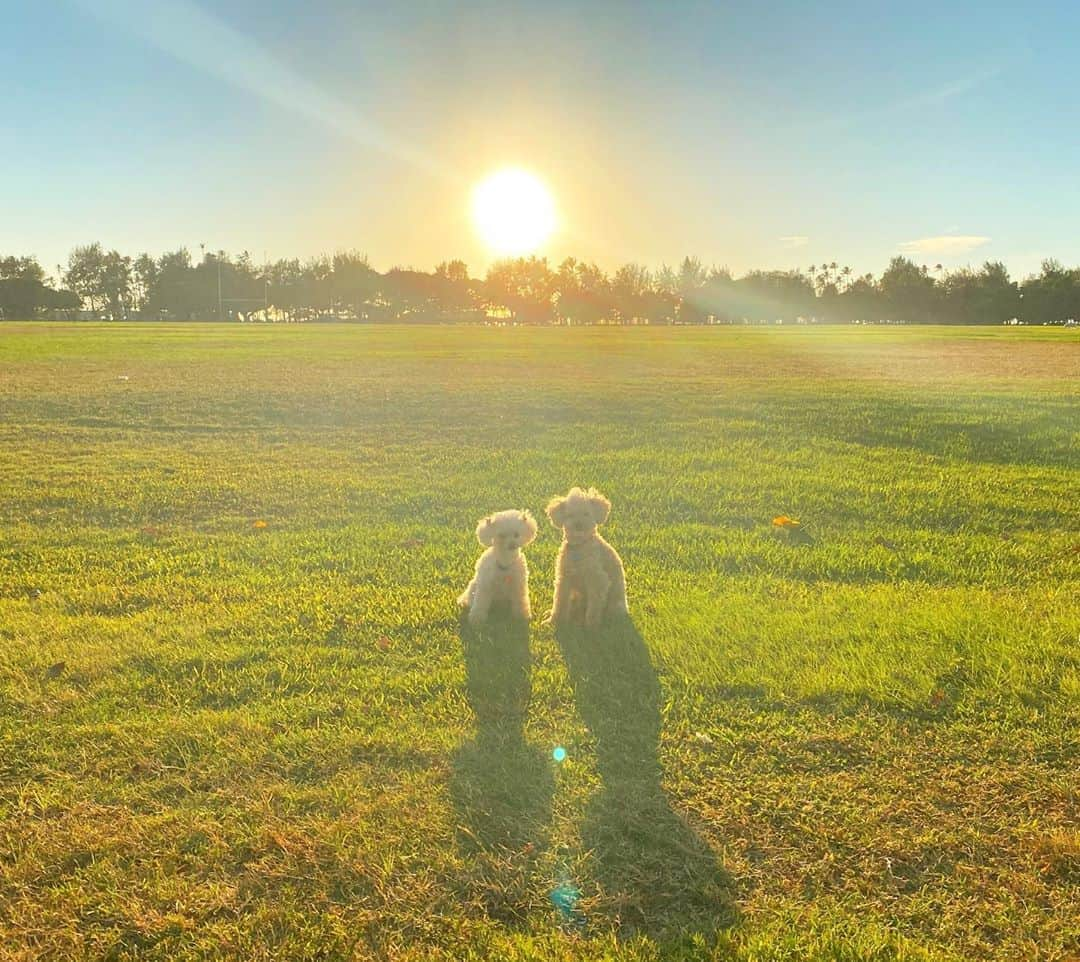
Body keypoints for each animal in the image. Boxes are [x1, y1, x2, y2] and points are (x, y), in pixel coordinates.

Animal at [544, 485, 630, 626]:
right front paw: (553, 620)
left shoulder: (597, 581)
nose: (578, 525)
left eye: (586, 513)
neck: (579, 546)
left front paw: (591, 625)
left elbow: (594, 607)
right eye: (570, 515)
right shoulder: (564, 579)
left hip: (615, 605)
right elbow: (559, 601)